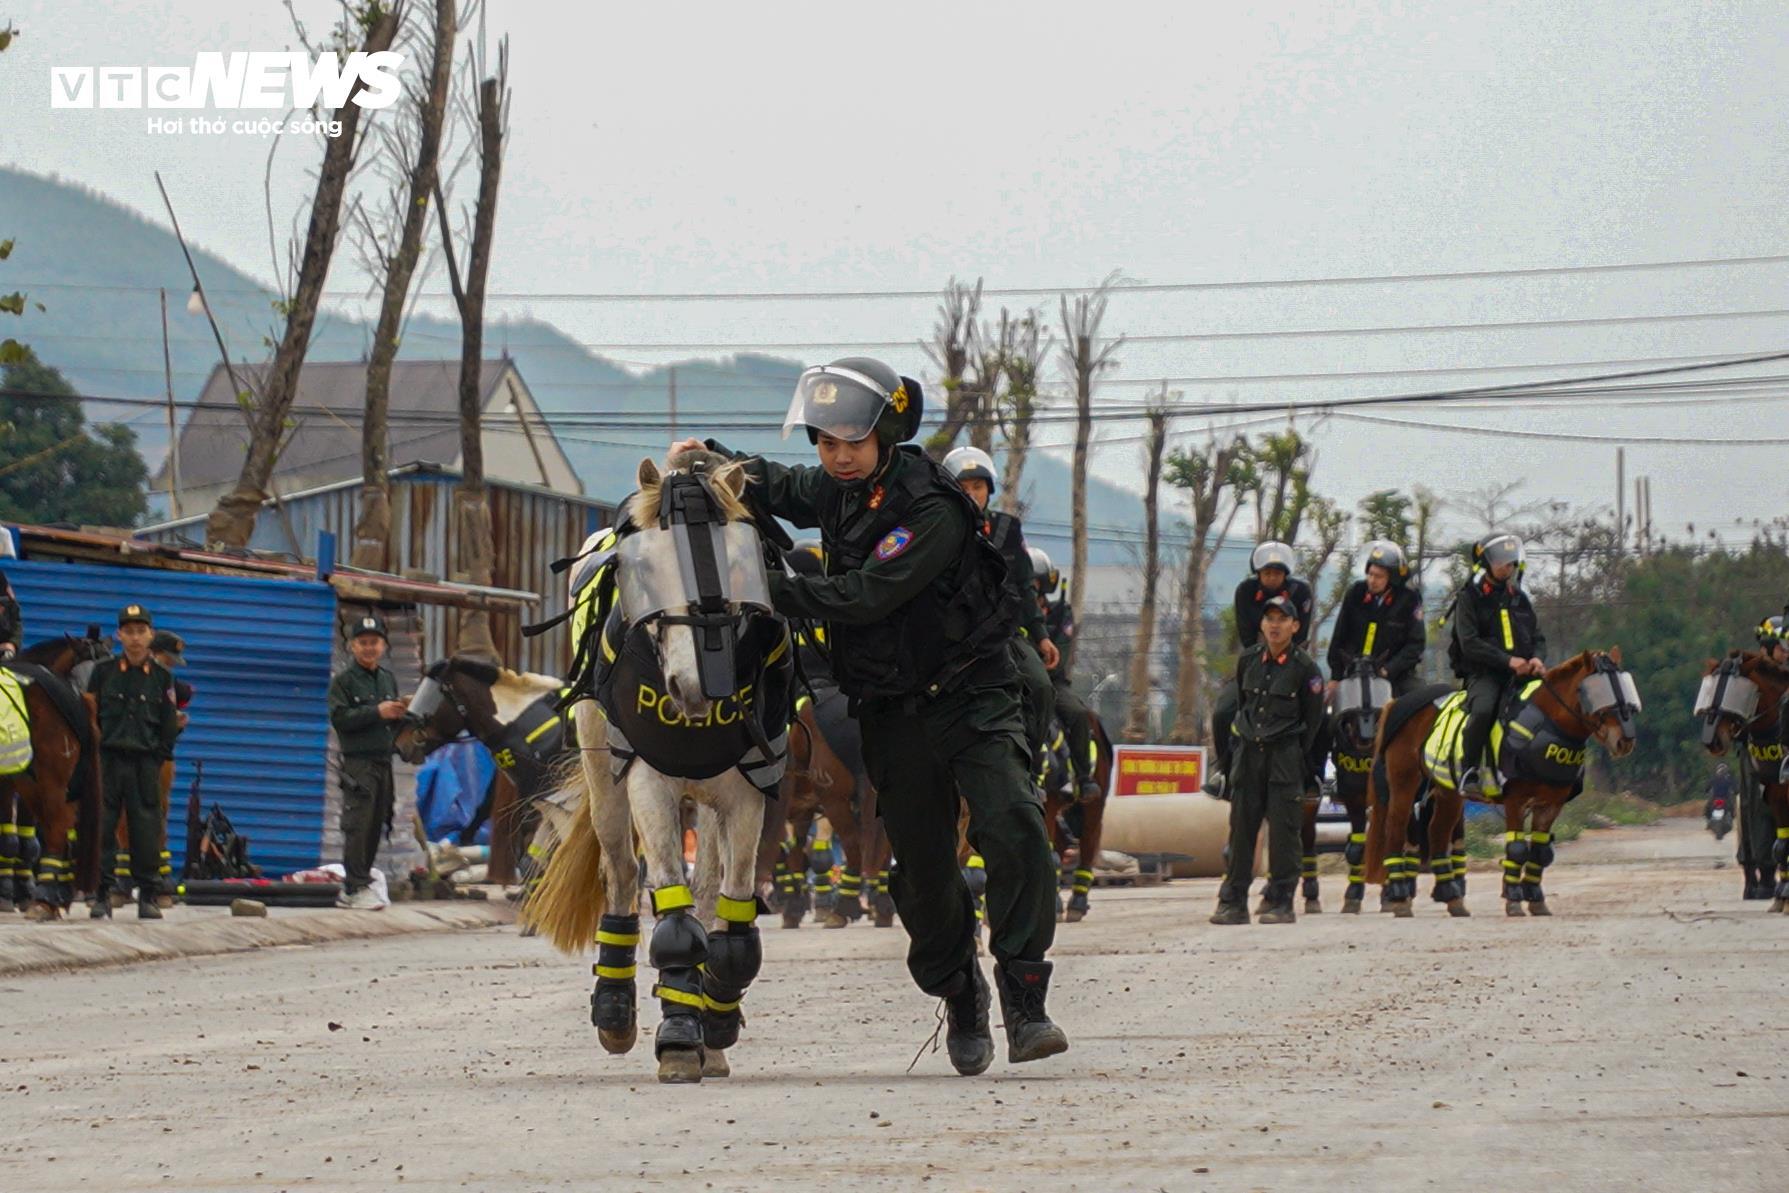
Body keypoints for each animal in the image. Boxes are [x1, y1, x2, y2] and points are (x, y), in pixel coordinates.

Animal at [525, 452, 787, 1087]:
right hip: (604, 774)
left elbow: (730, 911)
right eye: (641, 569)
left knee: (710, 887)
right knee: (621, 873)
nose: (693, 689)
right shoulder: (649, 783)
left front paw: (714, 1022)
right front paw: (677, 1038)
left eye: (740, 561)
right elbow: (671, 911)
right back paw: (617, 1012)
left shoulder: (746, 792)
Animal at [1366, 647, 1638, 922]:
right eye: (1598, 692)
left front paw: (1536, 901)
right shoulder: (1515, 800)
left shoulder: (1551, 804)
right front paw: (1514, 901)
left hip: (1447, 791)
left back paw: (1453, 899)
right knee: (1396, 828)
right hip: (1405, 783)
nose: (1624, 741)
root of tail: (1397, 703)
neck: (1547, 724)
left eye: (1626, 690)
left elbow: (1540, 852)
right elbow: (1517, 849)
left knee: (1437, 833)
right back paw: (1400, 898)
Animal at [1688, 647, 1789, 908]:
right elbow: (1780, 842)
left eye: (1733, 692)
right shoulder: (1775, 789)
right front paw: (1782, 891)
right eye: (1710, 690)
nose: (1711, 740)